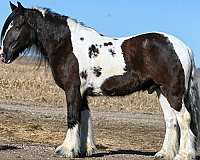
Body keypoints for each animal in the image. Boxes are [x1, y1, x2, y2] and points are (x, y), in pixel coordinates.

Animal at [0, 1, 200, 159]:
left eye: (17, 26)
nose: (3, 55)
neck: (66, 44)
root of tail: (183, 47)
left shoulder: (72, 89)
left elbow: (72, 117)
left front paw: (66, 150)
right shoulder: (82, 93)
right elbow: (84, 117)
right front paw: (83, 149)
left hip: (173, 92)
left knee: (184, 118)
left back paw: (184, 154)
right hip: (161, 91)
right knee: (171, 121)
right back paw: (164, 153)